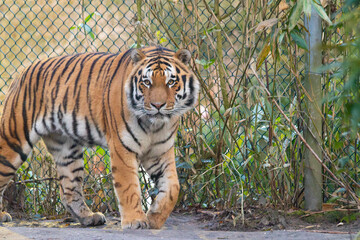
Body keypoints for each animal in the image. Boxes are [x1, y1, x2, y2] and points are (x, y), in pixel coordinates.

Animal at [0, 45, 200, 229]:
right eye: (147, 82)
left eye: (171, 81)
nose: (158, 105)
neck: (155, 125)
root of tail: (22, 71)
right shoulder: (122, 148)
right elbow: (129, 186)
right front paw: (135, 221)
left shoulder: (160, 152)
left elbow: (173, 187)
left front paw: (154, 218)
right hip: (14, 140)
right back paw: (3, 215)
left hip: (67, 150)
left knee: (68, 191)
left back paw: (89, 217)